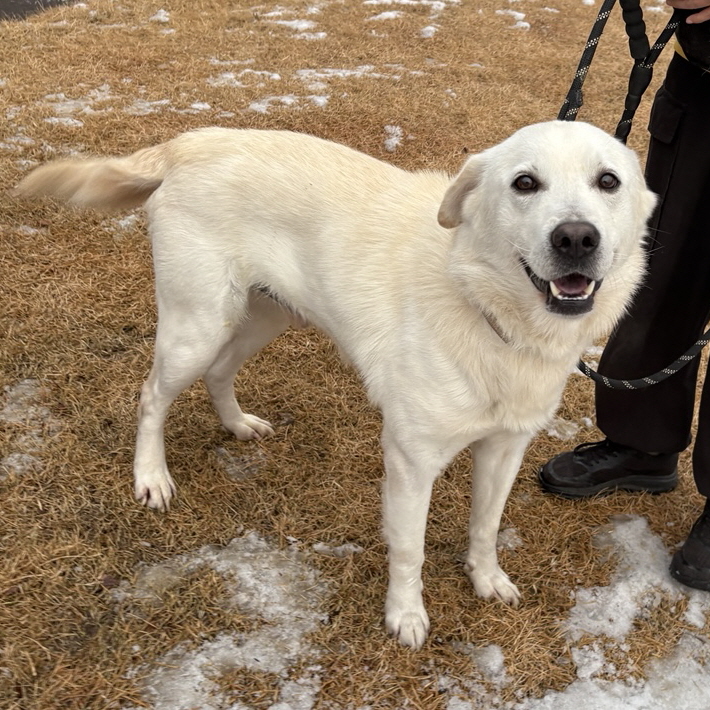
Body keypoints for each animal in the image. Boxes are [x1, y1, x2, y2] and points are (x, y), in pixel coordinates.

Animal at [16, 124, 660, 652]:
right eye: (525, 183)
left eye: (608, 181)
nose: (576, 238)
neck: (488, 309)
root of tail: (192, 141)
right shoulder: (410, 460)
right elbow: (409, 547)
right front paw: (406, 616)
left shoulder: (505, 448)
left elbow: (486, 525)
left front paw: (486, 579)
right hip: (196, 324)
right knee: (152, 396)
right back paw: (151, 477)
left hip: (266, 315)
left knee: (220, 373)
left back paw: (237, 425)